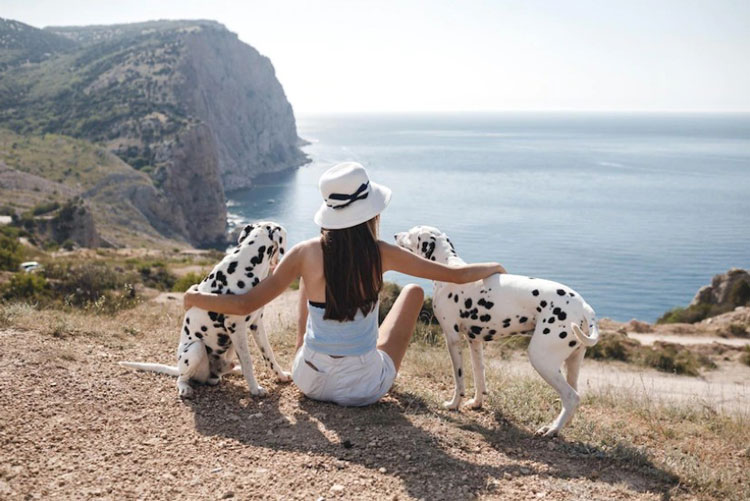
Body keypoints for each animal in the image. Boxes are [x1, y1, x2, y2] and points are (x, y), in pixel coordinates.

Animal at [119, 221, 292, 396]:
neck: (246, 264)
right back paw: (185, 387)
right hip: (196, 349)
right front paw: (255, 389)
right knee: (182, 378)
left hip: (229, 348)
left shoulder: (256, 323)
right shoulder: (236, 326)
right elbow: (247, 361)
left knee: (220, 374)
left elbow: (268, 354)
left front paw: (281, 376)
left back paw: (232, 370)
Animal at [396, 225, 604, 436]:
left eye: (412, 233)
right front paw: (476, 403)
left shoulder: (452, 339)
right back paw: (562, 425)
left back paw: (552, 429)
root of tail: (584, 306)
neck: (449, 266)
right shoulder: (474, 341)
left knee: (571, 397)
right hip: (572, 362)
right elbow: (479, 375)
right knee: (573, 397)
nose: (396, 235)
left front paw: (454, 404)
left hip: (542, 359)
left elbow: (459, 378)